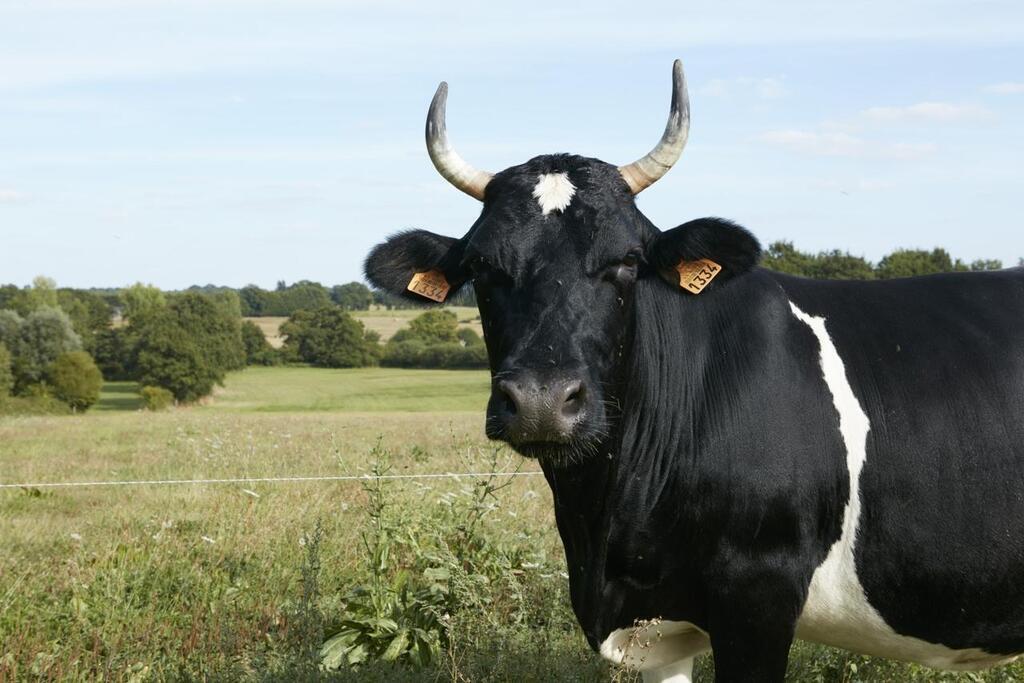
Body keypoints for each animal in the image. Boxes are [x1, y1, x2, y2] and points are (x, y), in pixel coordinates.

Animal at [362, 61, 1024, 679]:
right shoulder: (659, 630)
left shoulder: (757, 602)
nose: (543, 401)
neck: (604, 529)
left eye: (627, 262)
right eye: (482, 266)